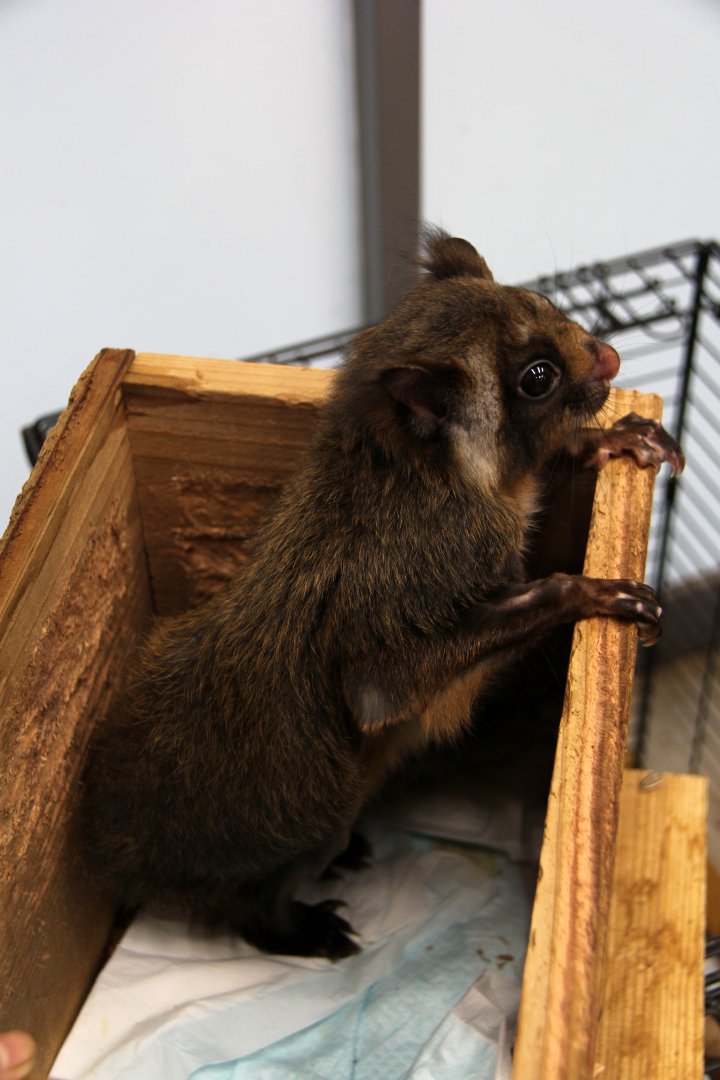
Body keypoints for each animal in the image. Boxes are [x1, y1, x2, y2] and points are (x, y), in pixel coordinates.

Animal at [81, 229, 684, 960]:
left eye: (543, 302)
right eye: (538, 378)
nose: (611, 357)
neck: (433, 472)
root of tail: (120, 861)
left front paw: (621, 438)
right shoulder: (422, 585)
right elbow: (387, 686)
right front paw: (595, 594)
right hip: (307, 831)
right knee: (254, 910)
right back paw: (305, 927)